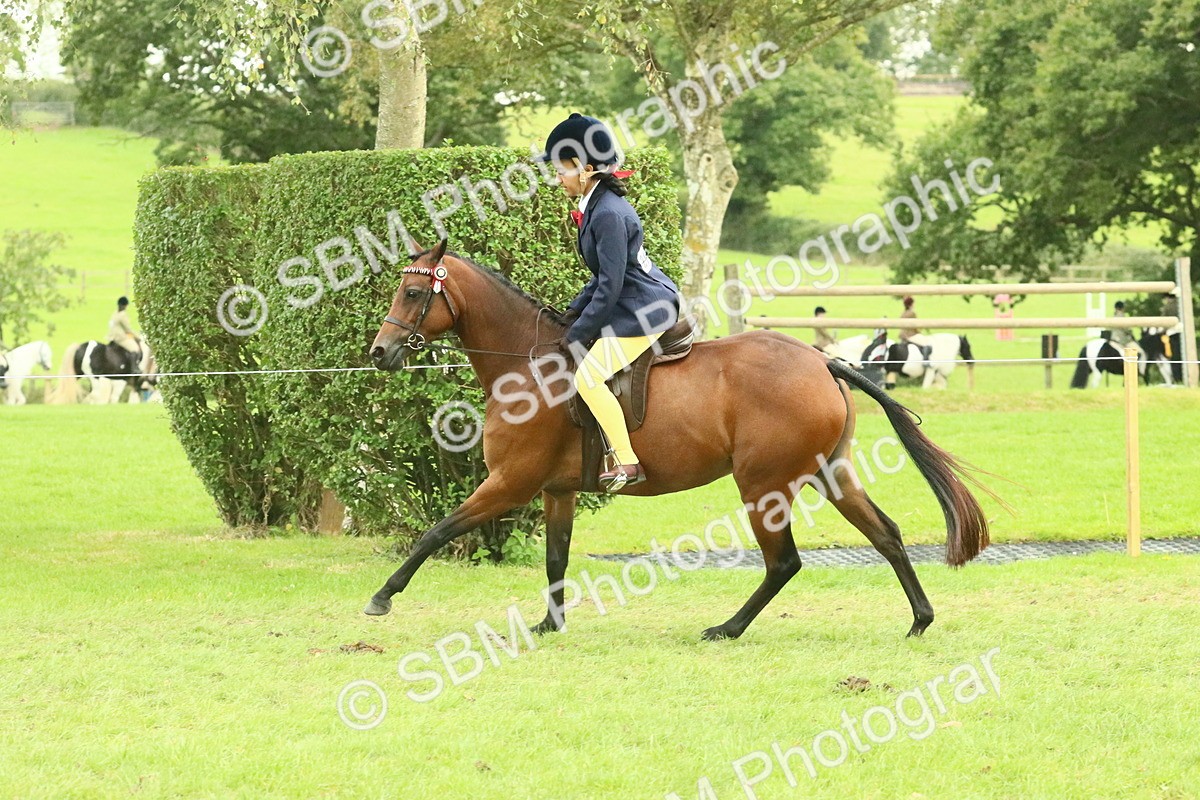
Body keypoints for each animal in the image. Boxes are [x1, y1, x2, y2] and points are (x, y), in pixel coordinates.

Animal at [363, 240, 995, 640]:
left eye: (413, 296)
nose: (379, 352)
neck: (526, 362)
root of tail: (821, 361)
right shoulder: (554, 491)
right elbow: (554, 558)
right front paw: (549, 624)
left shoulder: (508, 484)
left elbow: (435, 532)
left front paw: (382, 597)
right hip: (827, 471)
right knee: (885, 534)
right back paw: (919, 619)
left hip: (763, 484)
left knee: (784, 562)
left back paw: (727, 628)